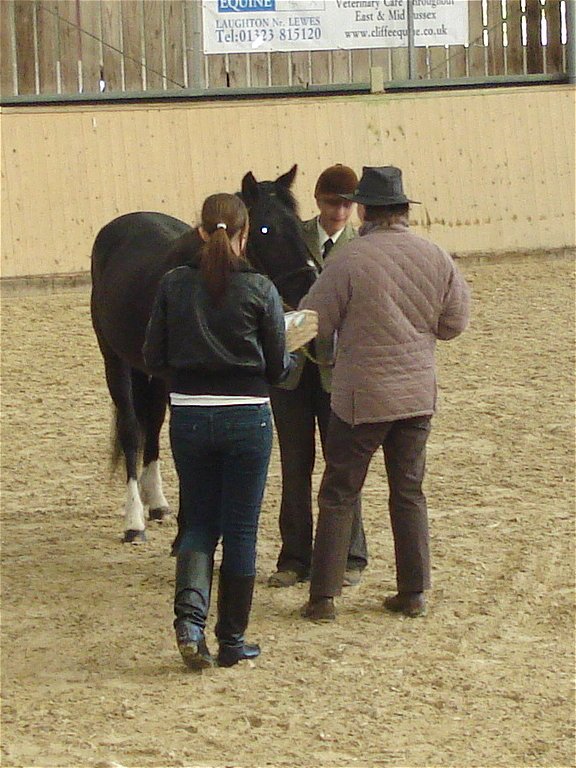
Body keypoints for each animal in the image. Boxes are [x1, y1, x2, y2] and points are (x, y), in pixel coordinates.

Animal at [90, 165, 317, 543]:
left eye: (300, 225)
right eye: (266, 228)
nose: (307, 285)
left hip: (152, 373)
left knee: (152, 422)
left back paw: (157, 504)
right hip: (116, 361)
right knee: (132, 429)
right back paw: (134, 520)